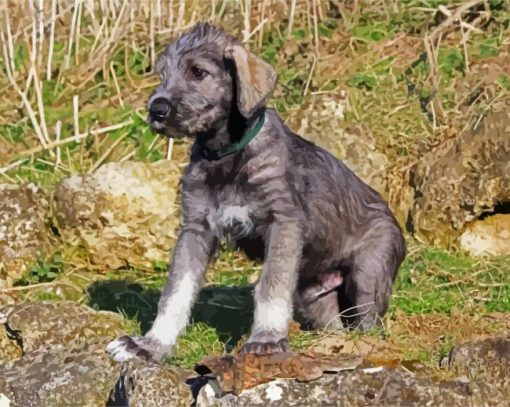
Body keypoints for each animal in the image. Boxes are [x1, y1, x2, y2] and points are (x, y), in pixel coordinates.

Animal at [106, 23, 406, 362]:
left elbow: (271, 286)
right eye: (162, 73)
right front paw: (150, 345)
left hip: (368, 275)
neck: (226, 156)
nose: (157, 109)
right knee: (333, 324)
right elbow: (176, 292)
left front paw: (267, 339)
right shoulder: (195, 228)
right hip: (314, 298)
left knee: (368, 321)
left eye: (198, 72)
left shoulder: (283, 222)